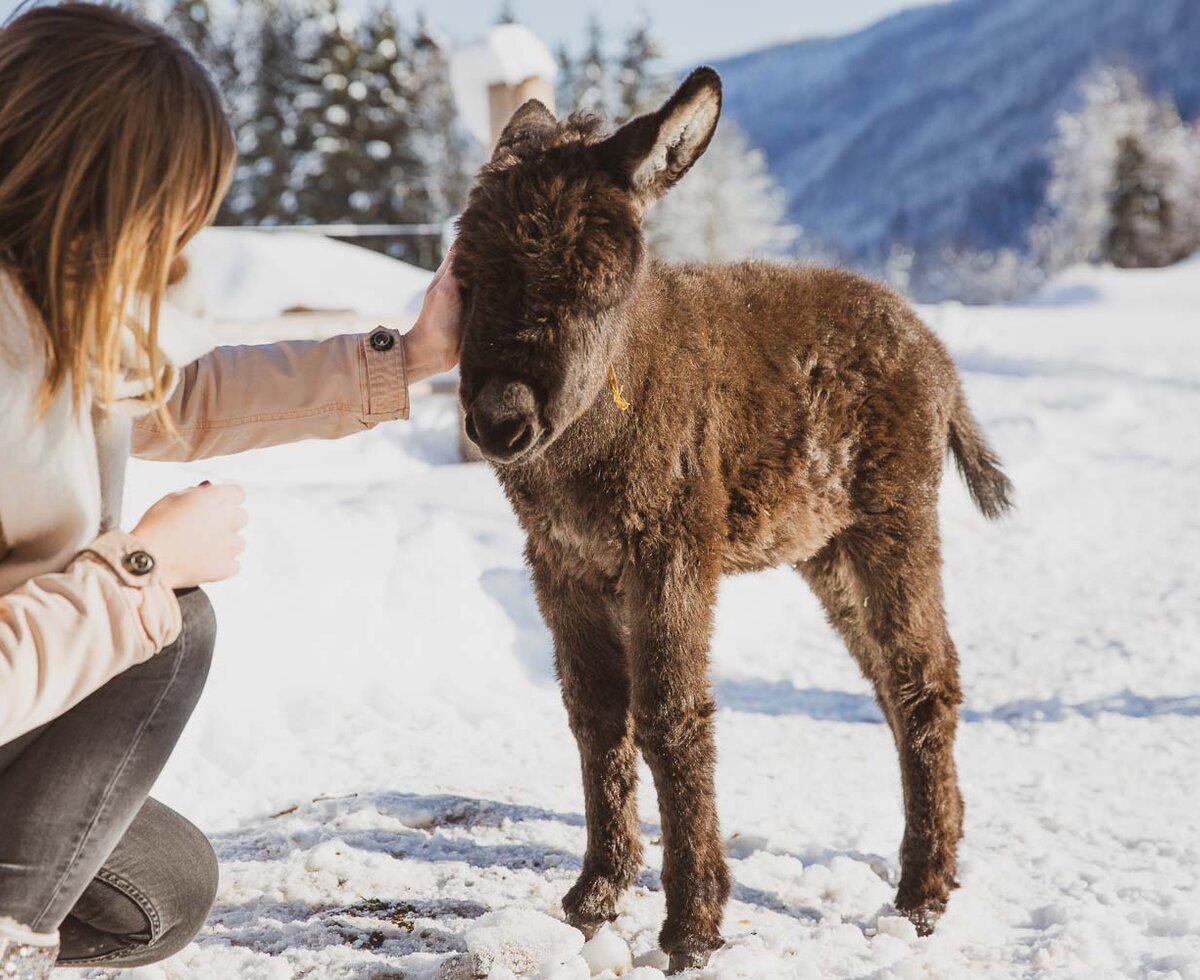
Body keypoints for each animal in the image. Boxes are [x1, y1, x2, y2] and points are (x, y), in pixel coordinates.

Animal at [451, 68, 1012, 969]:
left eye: (597, 284)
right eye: (465, 270)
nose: (501, 421)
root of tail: (935, 352)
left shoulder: (671, 548)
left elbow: (671, 717)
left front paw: (691, 925)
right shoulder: (561, 563)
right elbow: (594, 715)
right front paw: (595, 895)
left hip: (892, 523)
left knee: (924, 681)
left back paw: (923, 893)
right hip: (825, 551)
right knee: (892, 684)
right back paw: (934, 867)